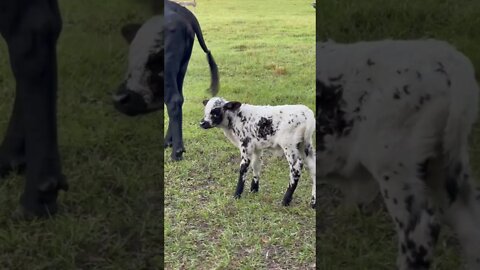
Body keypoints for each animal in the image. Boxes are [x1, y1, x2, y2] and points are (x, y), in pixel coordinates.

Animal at [112, 0, 219, 160]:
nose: (118, 99)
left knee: (173, 100)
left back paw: (176, 152)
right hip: (181, 67)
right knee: (178, 98)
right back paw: (168, 142)